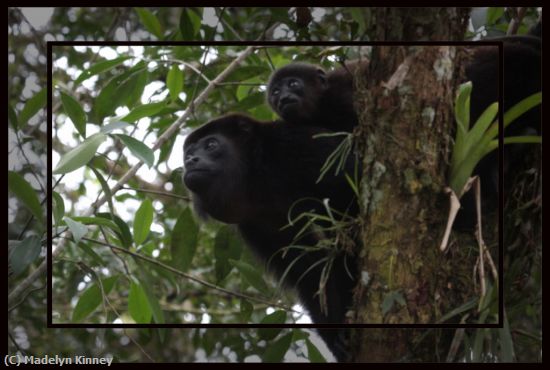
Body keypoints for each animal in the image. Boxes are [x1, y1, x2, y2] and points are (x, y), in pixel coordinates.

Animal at [183, 113, 360, 362]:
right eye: (188, 153)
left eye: (211, 145)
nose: (190, 160)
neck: (259, 179)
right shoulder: (257, 222)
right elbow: (307, 271)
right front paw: (338, 339)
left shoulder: (294, 147)